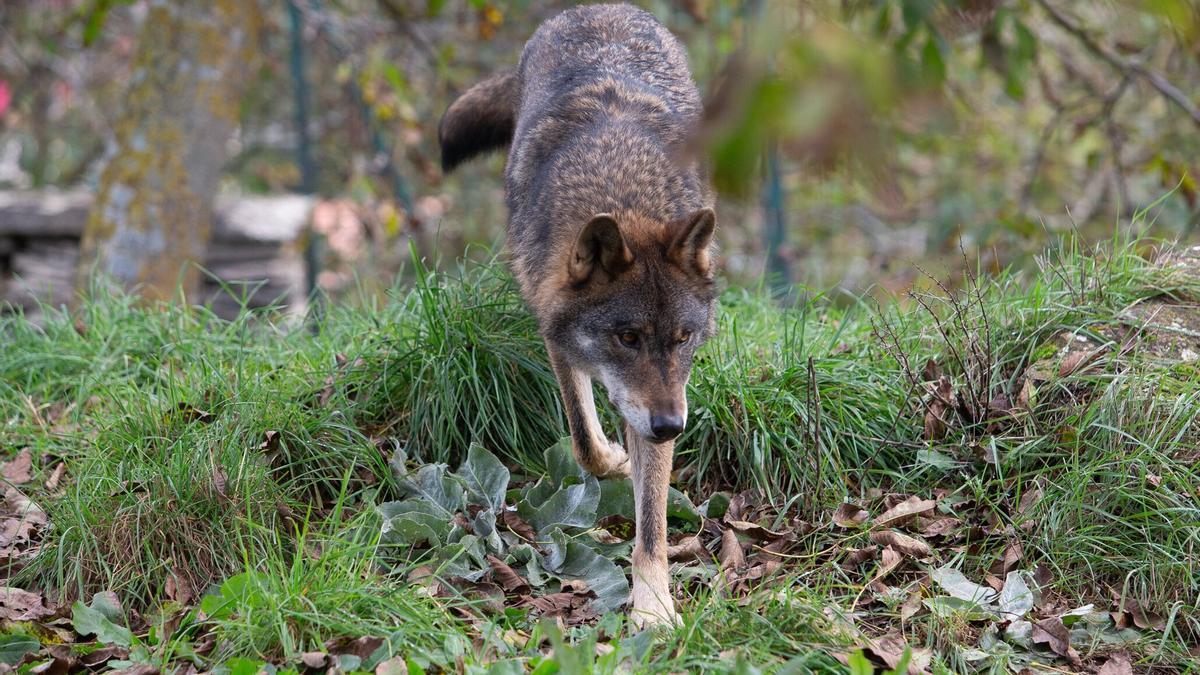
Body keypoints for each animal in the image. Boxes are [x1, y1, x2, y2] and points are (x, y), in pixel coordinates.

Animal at [444, 5, 715, 624]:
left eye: (683, 338)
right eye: (627, 337)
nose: (672, 427)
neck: (619, 184)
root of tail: (597, 9)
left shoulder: (664, 399)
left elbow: (652, 524)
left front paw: (653, 610)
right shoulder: (555, 334)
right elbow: (584, 443)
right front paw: (616, 460)